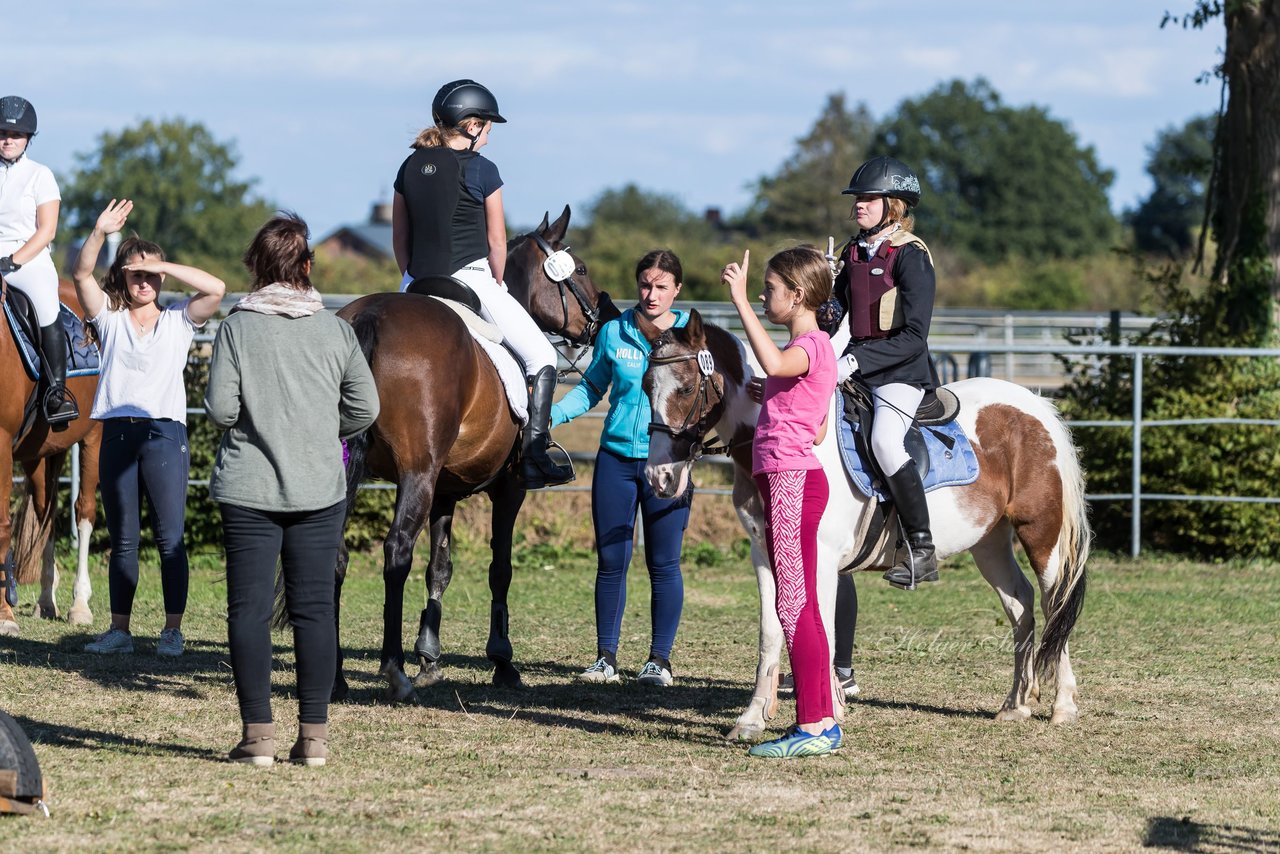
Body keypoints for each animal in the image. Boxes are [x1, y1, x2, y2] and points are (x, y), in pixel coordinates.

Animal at [0, 277, 100, 637]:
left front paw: (5, 616)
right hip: (37, 455)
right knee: (47, 515)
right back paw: (46, 600)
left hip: (93, 437)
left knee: (84, 512)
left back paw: (80, 605)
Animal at [332, 207, 616, 701]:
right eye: (579, 269)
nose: (604, 318)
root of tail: (371, 314)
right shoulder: (510, 488)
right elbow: (499, 569)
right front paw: (502, 661)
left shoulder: (445, 490)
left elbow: (440, 568)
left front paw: (429, 655)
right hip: (417, 475)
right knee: (397, 551)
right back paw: (394, 672)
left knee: (334, 552)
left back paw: (335, 677)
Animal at [640, 311, 1090, 737]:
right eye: (646, 387)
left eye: (685, 389)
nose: (659, 477)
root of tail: (1033, 404)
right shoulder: (764, 555)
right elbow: (771, 630)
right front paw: (753, 719)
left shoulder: (820, 556)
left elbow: (819, 624)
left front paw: (827, 712)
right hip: (989, 543)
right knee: (1021, 604)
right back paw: (1016, 704)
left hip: (1041, 535)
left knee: (1054, 603)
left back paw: (1063, 706)